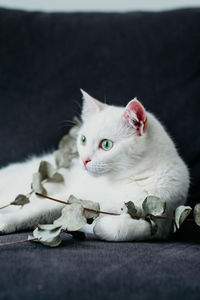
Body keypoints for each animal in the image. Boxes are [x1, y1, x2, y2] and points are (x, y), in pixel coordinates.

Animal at [0, 91, 189, 241]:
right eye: (83, 139)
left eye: (106, 144)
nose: (84, 160)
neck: (125, 180)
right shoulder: (72, 196)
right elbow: (35, 209)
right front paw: (5, 220)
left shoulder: (162, 221)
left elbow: (127, 228)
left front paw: (97, 225)